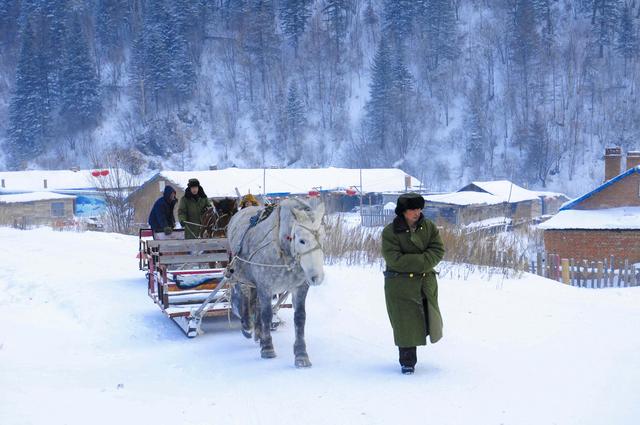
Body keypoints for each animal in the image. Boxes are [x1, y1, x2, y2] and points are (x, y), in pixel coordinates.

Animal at [226, 197, 324, 366]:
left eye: (323, 238)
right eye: (302, 240)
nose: (317, 277)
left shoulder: (300, 286)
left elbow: (300, 317)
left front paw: (301, 354)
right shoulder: (265, 285)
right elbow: (266, 314)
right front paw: (267, 348)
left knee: (255, 304)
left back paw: (257, 332)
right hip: (241, 274)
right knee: (244, 296)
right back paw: (247, 326)